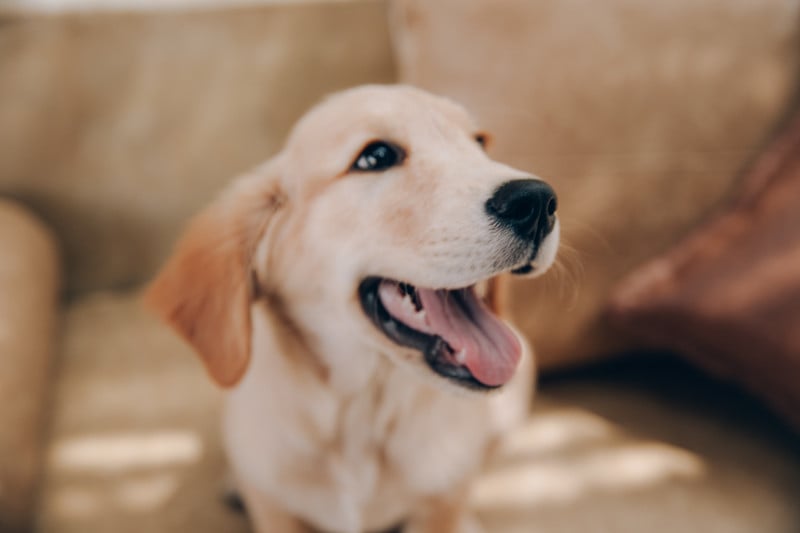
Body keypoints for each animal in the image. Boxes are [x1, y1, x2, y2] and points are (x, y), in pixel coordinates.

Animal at [147, 85, 560, 528]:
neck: (362, 414)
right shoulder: (276, 510)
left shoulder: (440, 503)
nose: (538, 201)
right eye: (376, 156)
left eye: (479, 142)